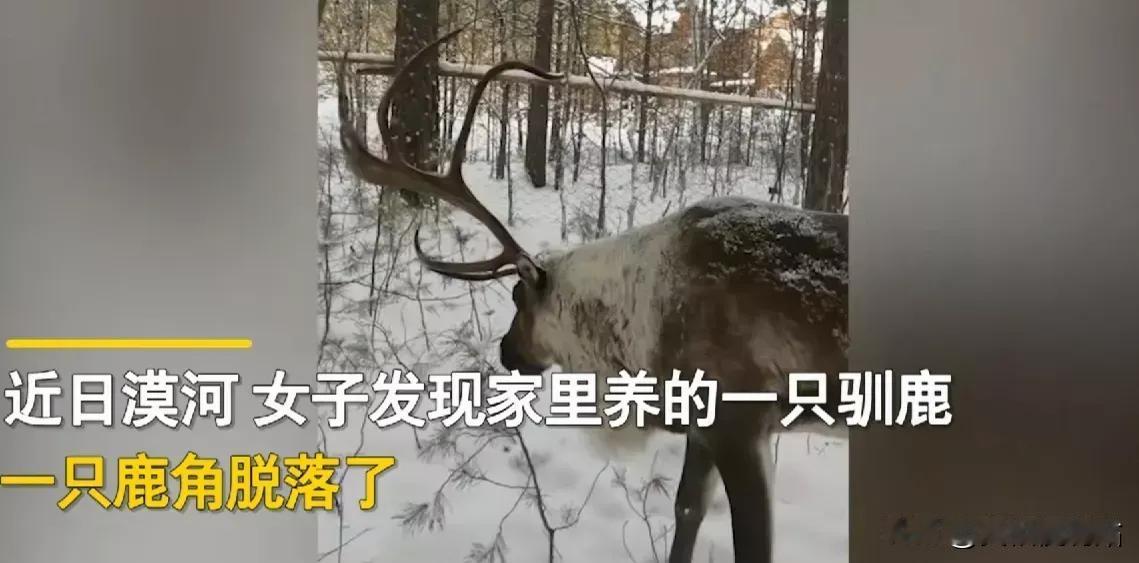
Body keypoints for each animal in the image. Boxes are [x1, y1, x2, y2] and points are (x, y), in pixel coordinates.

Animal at [334, 29, 849, 563]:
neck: (638, 329)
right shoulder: (703, 426)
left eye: (517, 296)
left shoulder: (741, 421)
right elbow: (687, 508)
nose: (506, 353)